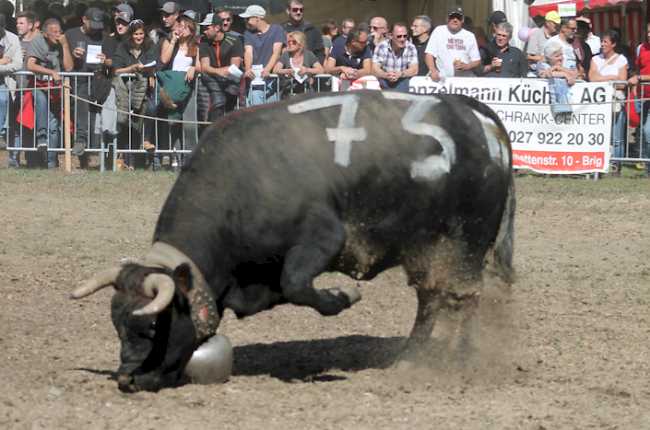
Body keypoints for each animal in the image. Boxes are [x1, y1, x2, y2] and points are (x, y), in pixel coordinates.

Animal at [71, 91, 512, 394]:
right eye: (116, 326)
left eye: (149, 327)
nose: (127, 380)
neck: (240, 182)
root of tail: (473, 112)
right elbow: (286, 286)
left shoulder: (325, 238)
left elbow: (298, 285)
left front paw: (342, 296)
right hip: (427, 249)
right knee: (431, 298)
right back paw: (411, 358)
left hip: (466, 243)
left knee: (463, 295)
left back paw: (460, 359)